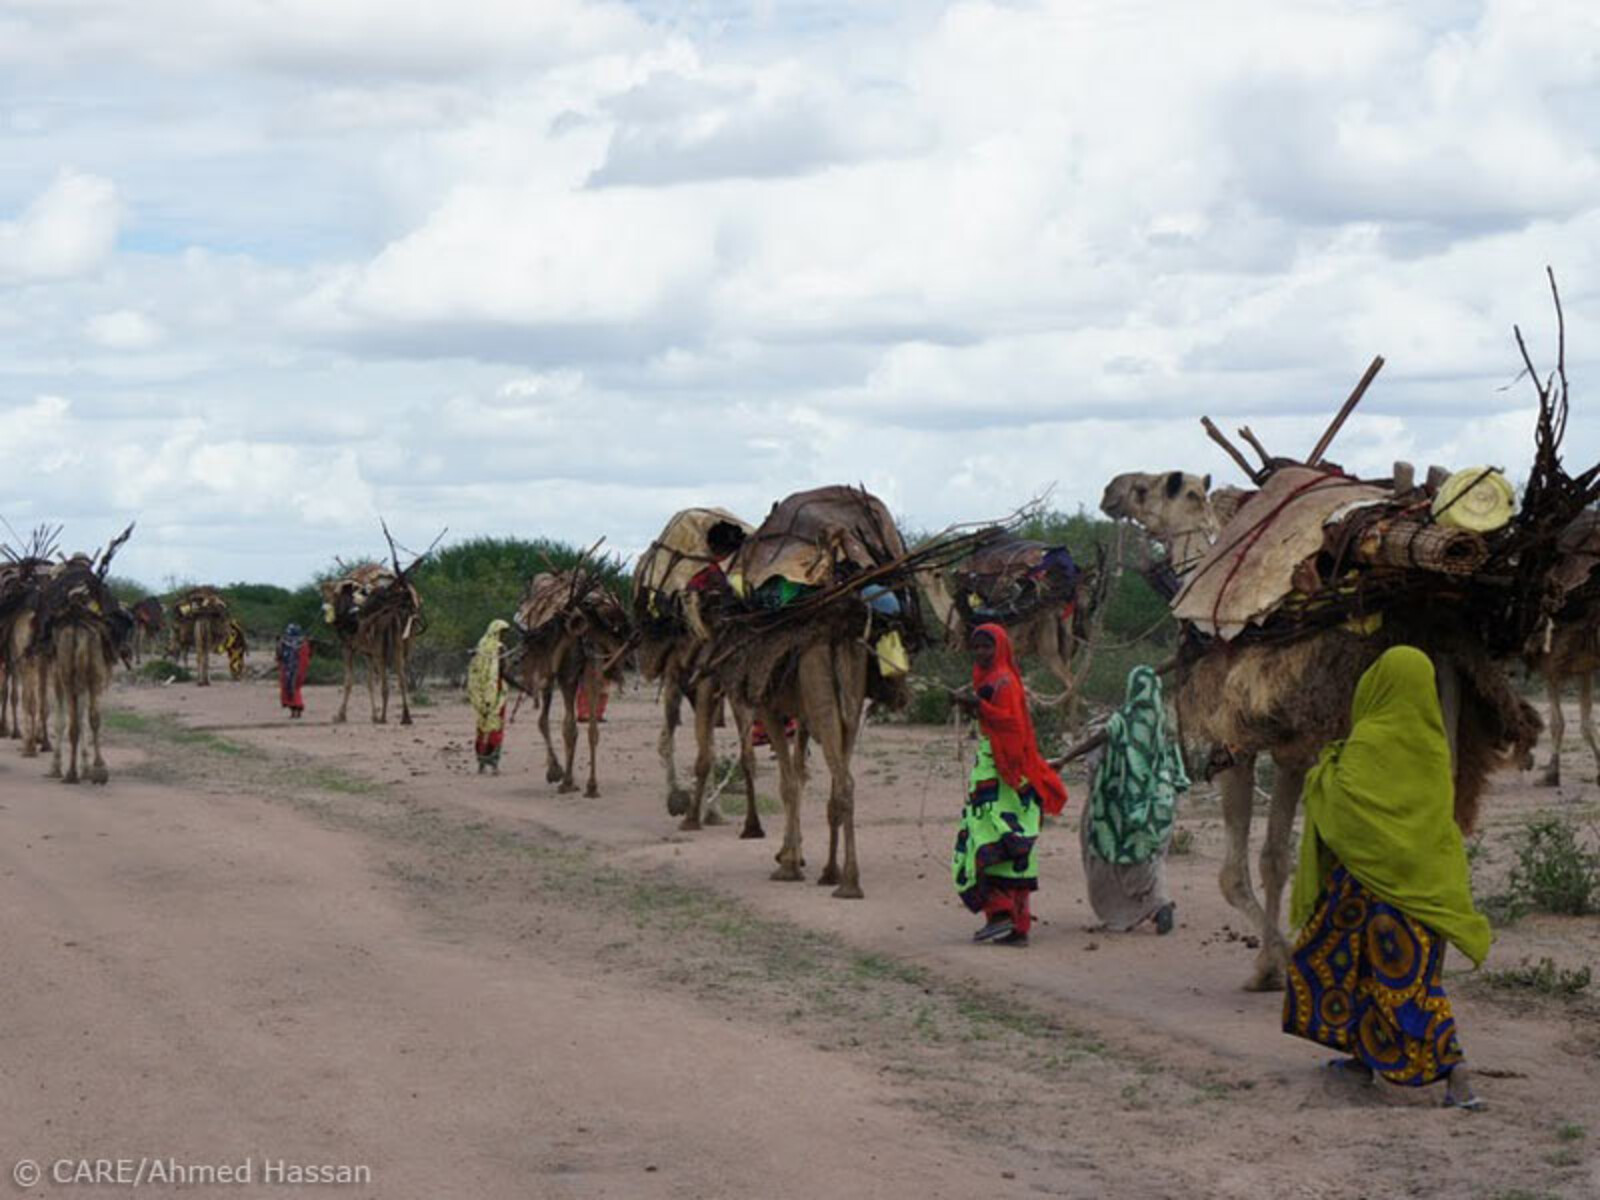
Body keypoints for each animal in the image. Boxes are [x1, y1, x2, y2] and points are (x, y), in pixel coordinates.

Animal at [321, 563, 422, 723]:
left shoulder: (348, 647)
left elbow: (349, 681)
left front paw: (340, 715)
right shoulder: (366, 651)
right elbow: (369, 682)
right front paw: (373, 715)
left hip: (379, 638)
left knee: (385, 676)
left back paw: (383, 717)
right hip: (398, 635)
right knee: (401, 675)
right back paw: (405, 717)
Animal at [515, 563, 633, 800]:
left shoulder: (553, 673)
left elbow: (545, 722)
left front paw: (556, 772)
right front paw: (566, 777)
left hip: (566, 673)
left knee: (563, 723)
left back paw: (567, 780)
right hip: (592, 666)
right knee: (591, 728)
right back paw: (591, 786)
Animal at [630, 508, 761, 838]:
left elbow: (739, 754)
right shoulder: (695, 678)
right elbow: (701, 751)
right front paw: (691, 813)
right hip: (682, 678)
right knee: (671, 737)